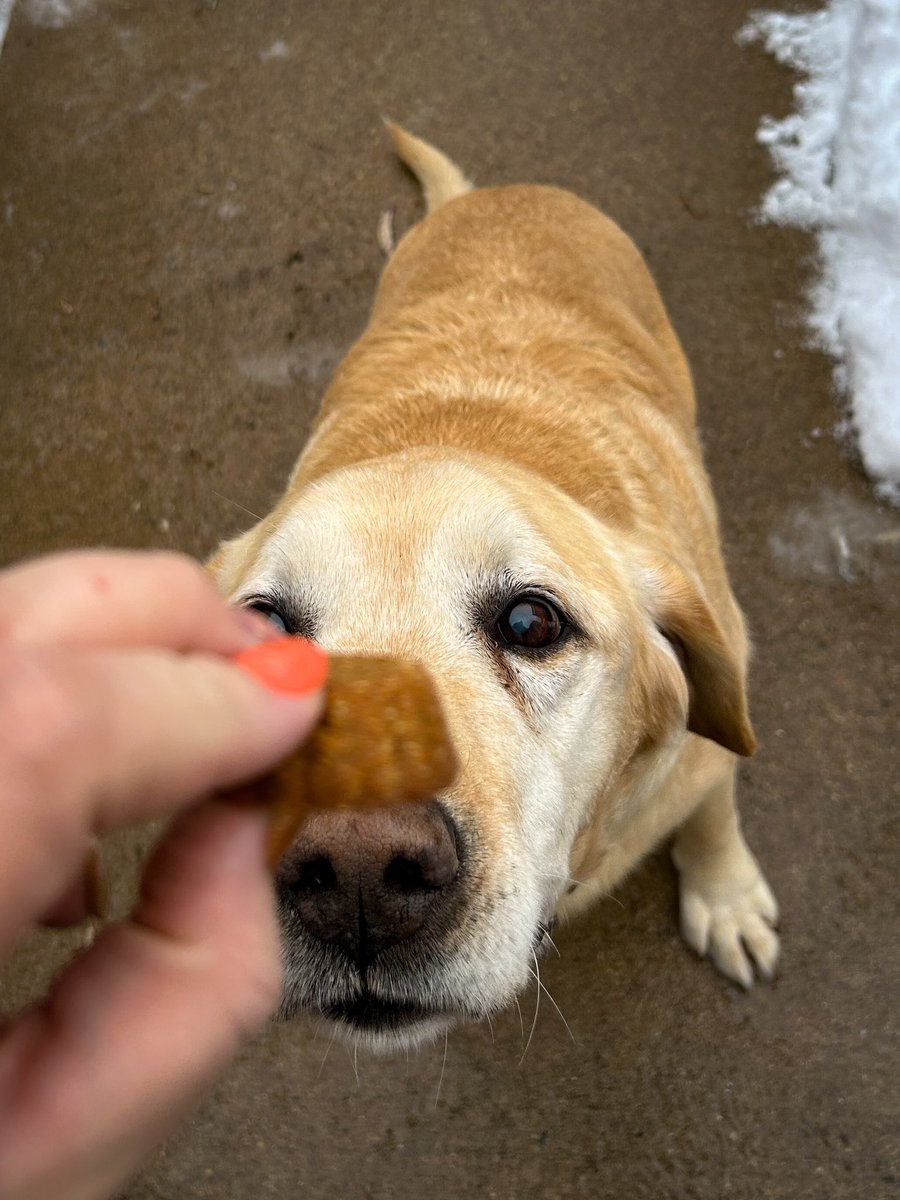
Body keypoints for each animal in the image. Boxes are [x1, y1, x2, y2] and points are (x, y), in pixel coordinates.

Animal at [211, 126, 782, 1051]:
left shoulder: (706, 754)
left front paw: (725, 896)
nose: (356, 868)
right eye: (268, 632)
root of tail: (494, 194)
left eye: (530, 622)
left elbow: (713, 814)